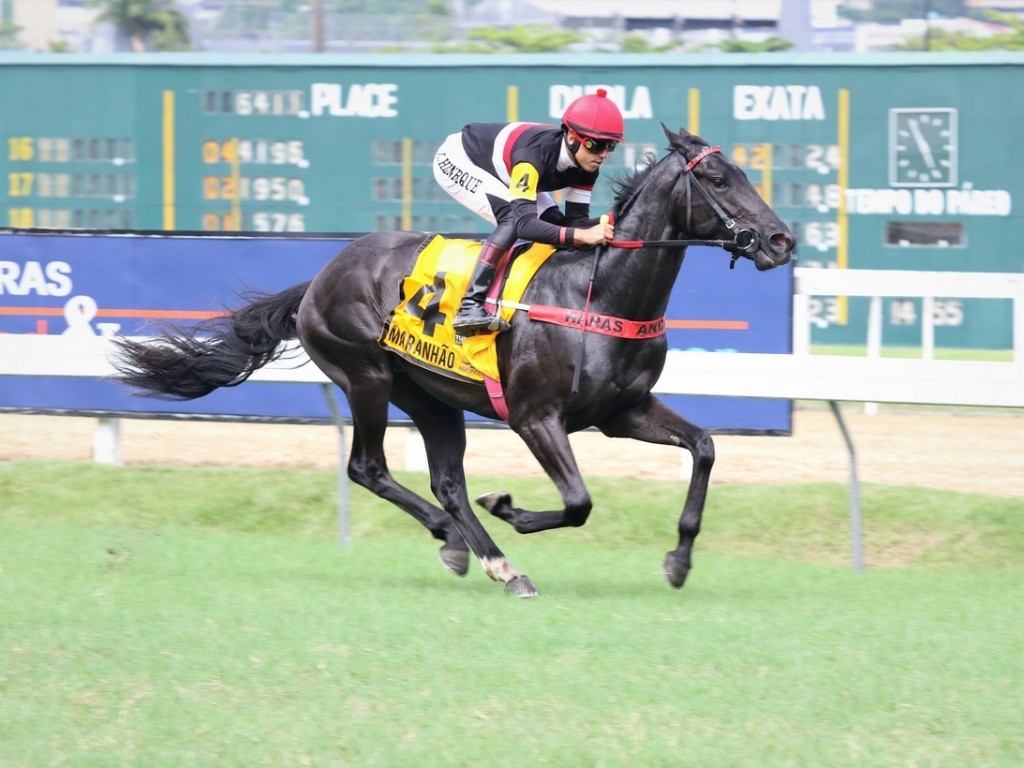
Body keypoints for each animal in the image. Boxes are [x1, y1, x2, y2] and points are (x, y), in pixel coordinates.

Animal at [116, 126, 794, 598]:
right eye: (721, 181)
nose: (781, 239)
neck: (599, 292)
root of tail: (320, 278)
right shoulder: (534, 417)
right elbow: (578, 502)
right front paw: (511, 508)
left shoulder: (623, 412)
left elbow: (704, 447)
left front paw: (678, 561)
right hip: (365, 376)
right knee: (368, 467)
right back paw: (461, 542)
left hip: (429, 395)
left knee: (447, 482)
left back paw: (493, 560)